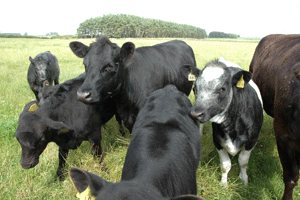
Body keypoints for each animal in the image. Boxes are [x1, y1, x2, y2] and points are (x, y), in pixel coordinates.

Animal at [184, 57, 264, 186]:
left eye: (222, 89)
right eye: (195, 88)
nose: (195, 114)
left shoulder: (252, 140)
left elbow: (243, 161)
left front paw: (244, 180)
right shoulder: (217, 140)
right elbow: (225, 164)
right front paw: (224, 184)